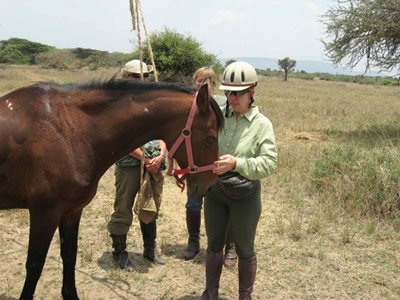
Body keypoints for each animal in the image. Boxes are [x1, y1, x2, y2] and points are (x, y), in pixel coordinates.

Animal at [0, 78, 225, 298]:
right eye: (211, 138)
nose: (209, 185)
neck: (70, 130)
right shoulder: (45, 213)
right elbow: (35, 264)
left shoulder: (71, 211)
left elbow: (69, 255)